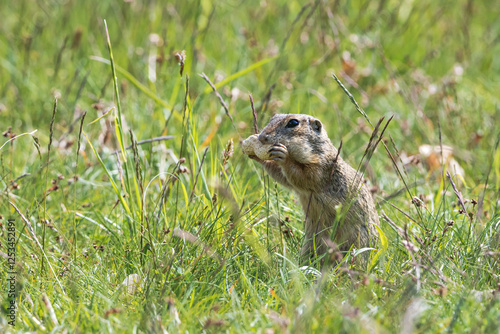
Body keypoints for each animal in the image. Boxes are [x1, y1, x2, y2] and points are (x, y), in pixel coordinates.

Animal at [242, 114, 378, 264]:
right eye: (273, 117)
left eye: (293, 123)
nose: (262, 137)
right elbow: (283, 177)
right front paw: (255, 153)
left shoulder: (321, 168)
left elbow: (303, 175)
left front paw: (284, 156)